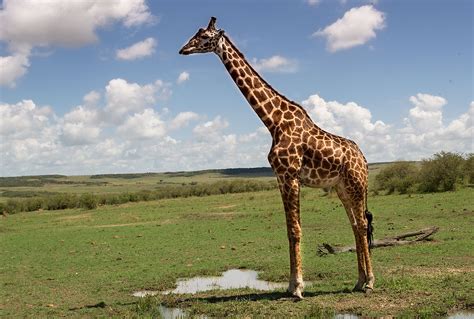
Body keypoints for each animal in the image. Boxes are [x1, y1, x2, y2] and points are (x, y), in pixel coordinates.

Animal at [180, 16, 376, 298]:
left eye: (205, 37)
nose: (183, 49)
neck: (273, 122)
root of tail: (365, 160)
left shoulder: (290, 175)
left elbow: (295, 230)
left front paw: (298, 288)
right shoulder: (281, 177)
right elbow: (289, 230)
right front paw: (291, 285)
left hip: (356, 185)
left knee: (361, 224)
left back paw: (370, 282)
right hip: (342, 188)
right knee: (354, 225)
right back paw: (358, 281)